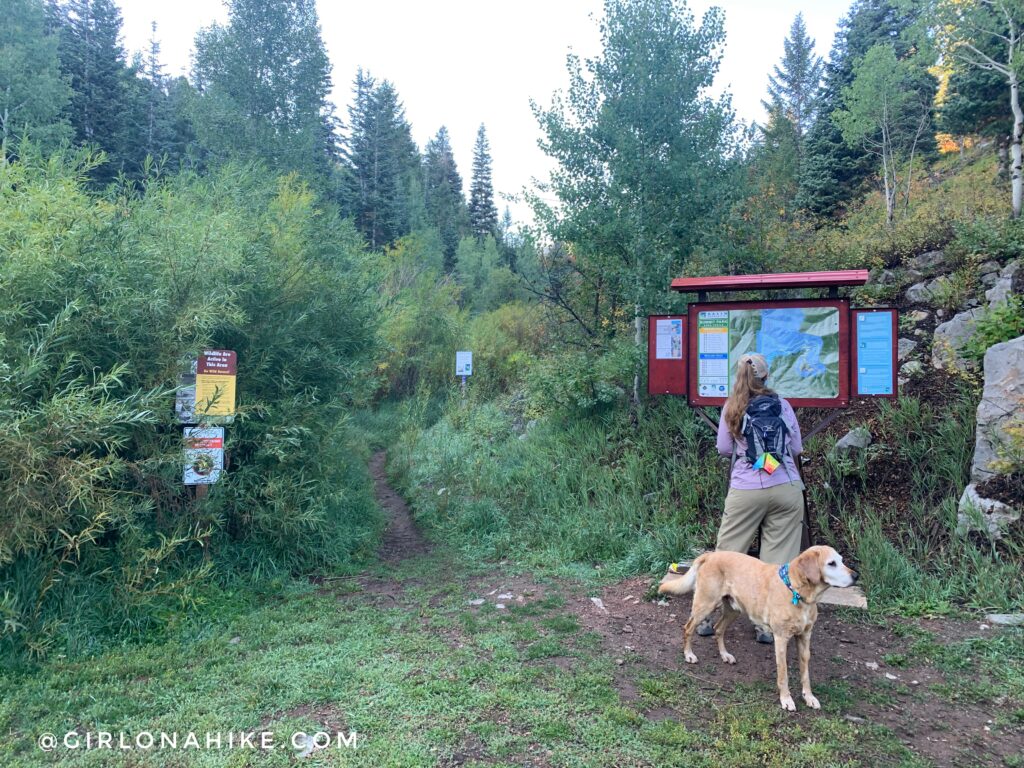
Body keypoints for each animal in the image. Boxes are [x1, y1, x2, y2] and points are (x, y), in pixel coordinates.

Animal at [655, 548, 856, 712]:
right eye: (831, 563)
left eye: (841, 560)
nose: (857, 575)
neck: (796, 591)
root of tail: (710, 554)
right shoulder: (781, 639)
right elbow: (783, 674)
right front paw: (786, 699)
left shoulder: (805, 637)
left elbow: (805, 674)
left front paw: (809, 697)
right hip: (705, 605)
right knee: (688, 628)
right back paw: (689, 655)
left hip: (733, 609)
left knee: (718, 629)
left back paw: (725, 655)